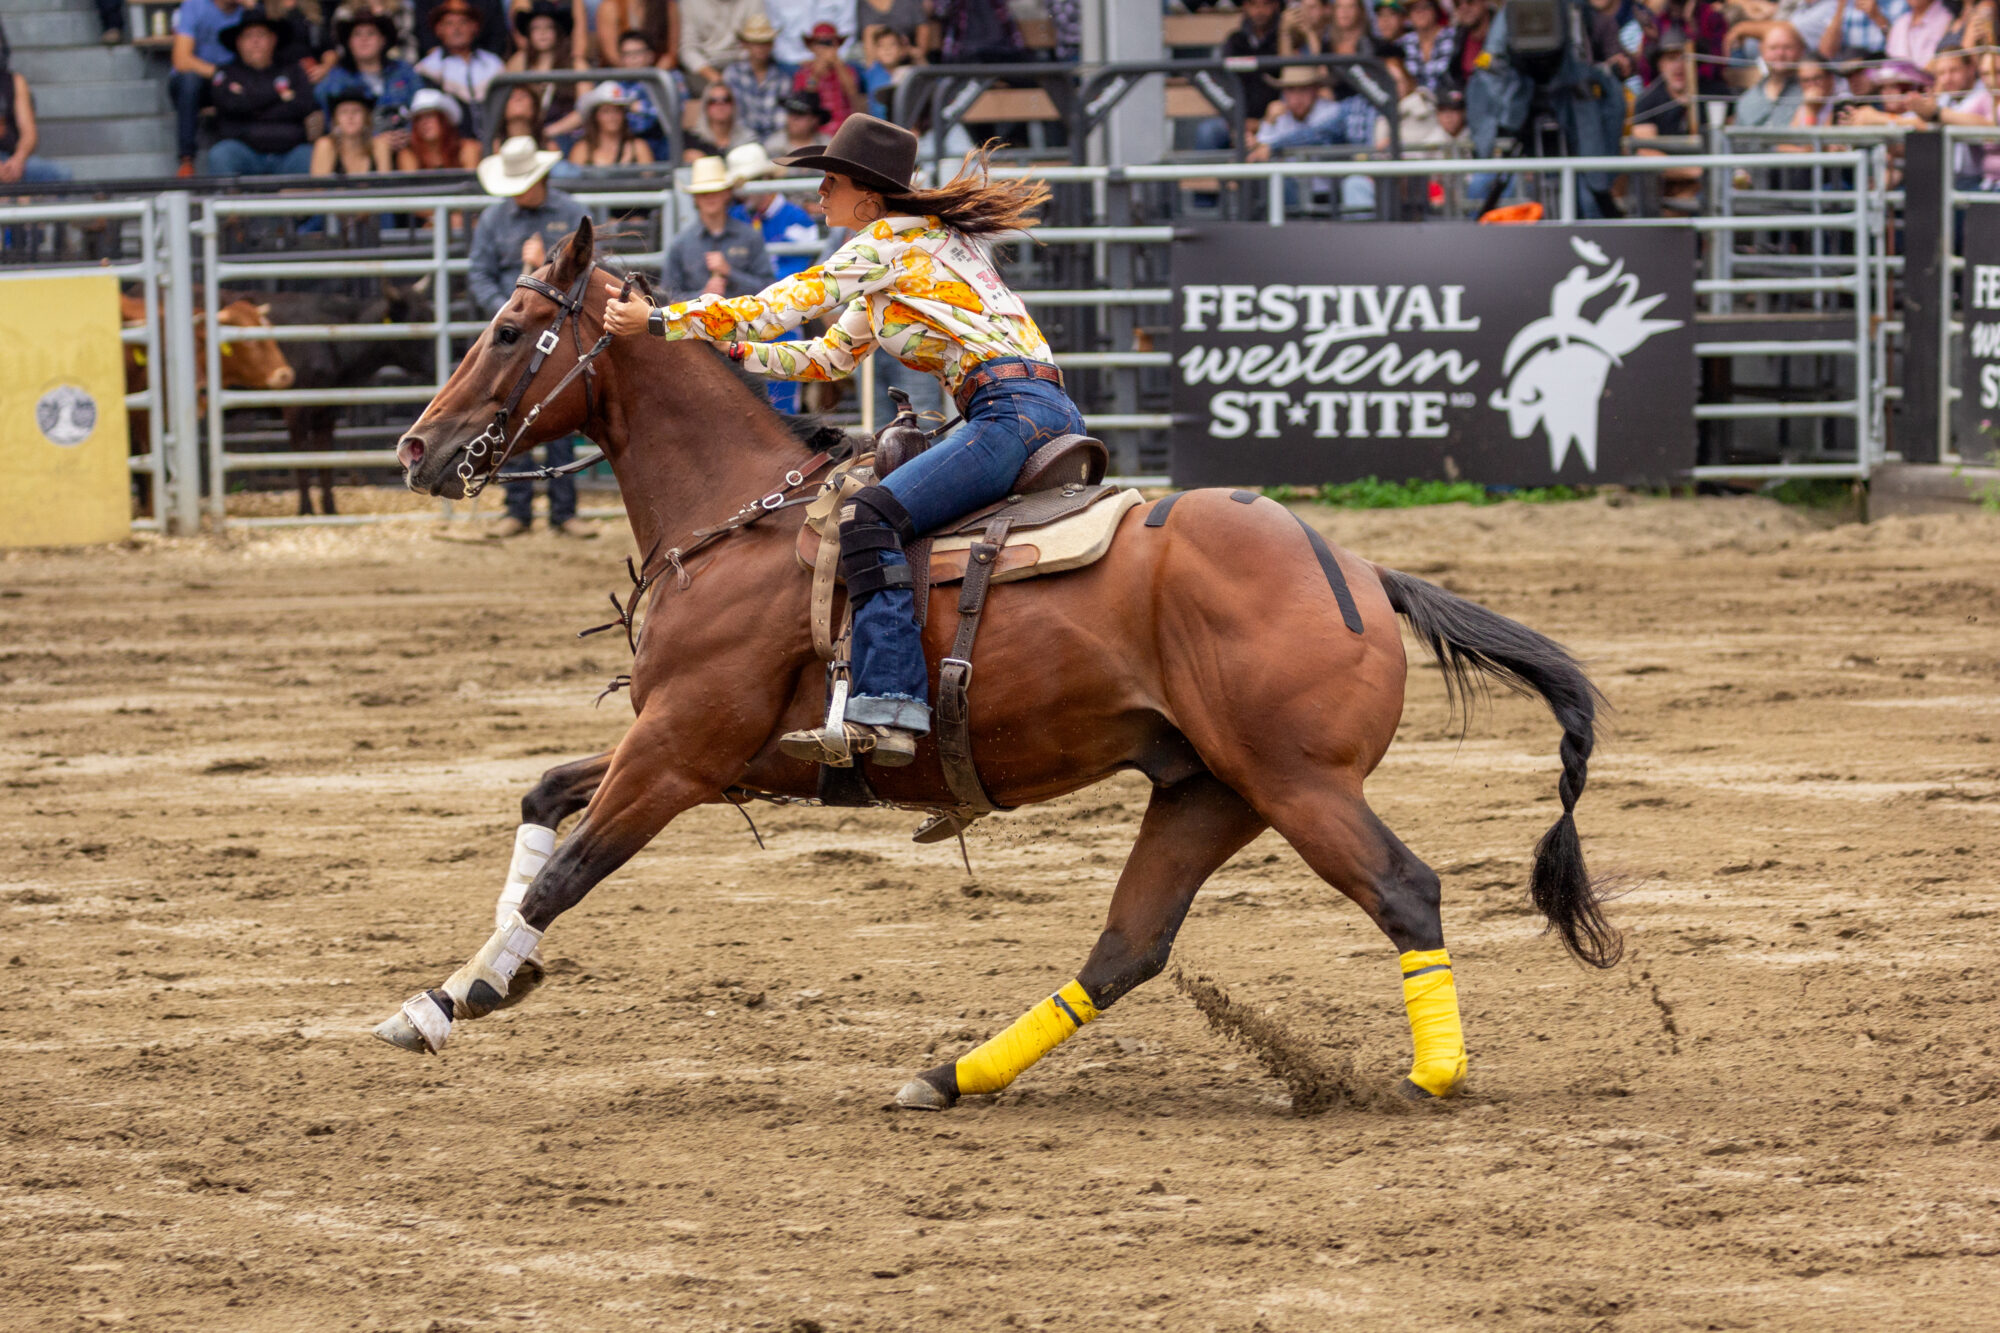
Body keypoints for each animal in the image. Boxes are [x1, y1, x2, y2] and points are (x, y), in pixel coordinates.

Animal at [378, 218, 1624, 1104]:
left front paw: (459, 991)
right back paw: (949, 1075)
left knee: (1402, 890)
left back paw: (1431, 1076)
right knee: (1127, 945)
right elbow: (543, 799)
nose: (416, 447)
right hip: (1206, 791)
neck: (739, 520)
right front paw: (482, 981)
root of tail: (1360, 573)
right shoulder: (704, 749)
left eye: (507, 329)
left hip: (1297, 784)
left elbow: (565, 872)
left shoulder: (679, 750)